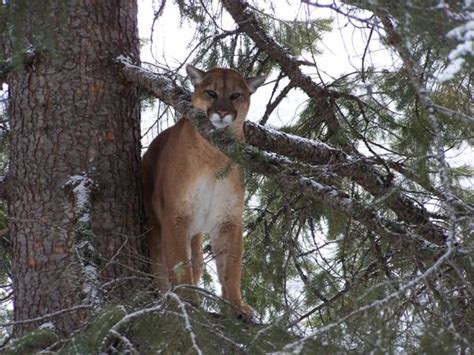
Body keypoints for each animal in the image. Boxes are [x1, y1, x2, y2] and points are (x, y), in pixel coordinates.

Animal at [143, 65, 264, 318]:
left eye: (235, 95)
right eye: (211, 92)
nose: (222, 112)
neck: (215, 155)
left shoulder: (228, 219)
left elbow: (231, 268)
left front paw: (237, 306)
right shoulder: (176, 215)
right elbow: (177, 261)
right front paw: (186, 299)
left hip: (196, 240)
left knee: (195, 263)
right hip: (154, 228)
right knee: (160, 266)